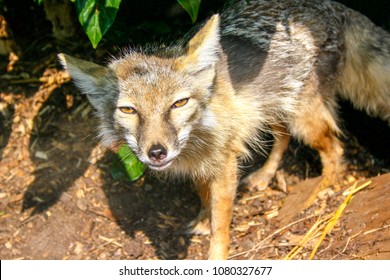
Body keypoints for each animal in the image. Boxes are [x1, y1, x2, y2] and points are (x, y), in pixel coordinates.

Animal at [57, 0, 390, 260]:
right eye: (128, 110)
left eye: (178, 103)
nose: (157, 152)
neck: (197, 139)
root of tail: (331, 5)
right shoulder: (202, 166)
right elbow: (205, 199)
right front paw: (204, 219)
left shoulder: (225, 166)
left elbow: (222, 225)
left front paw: (216, 254)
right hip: (269, 111)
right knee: (283, 137)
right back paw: (265, 176)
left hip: (303, 120)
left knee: (335, 149)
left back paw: (319, 193)